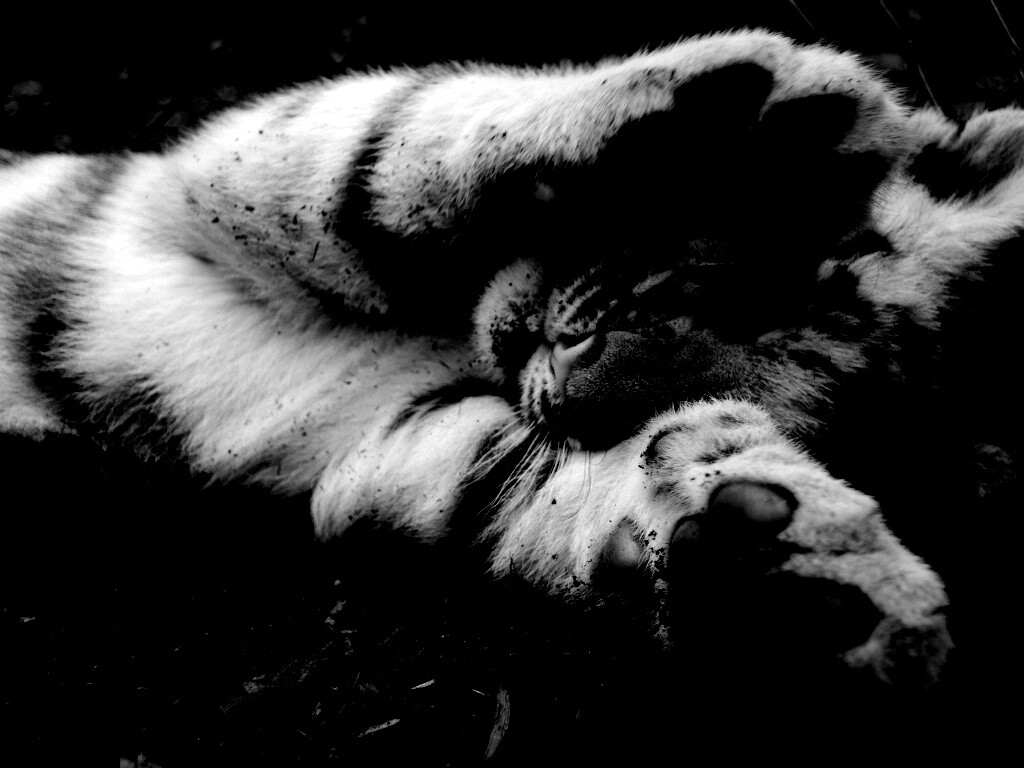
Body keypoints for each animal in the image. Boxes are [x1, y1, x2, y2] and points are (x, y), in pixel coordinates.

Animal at [3, 30, 1020, 735]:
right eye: (754, 287)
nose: (570, 389)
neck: (447, 335)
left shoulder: (370, 452)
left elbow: (548, 480)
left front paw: (784, 575)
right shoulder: (209, 177)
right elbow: (399, 143)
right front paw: (740, 123)